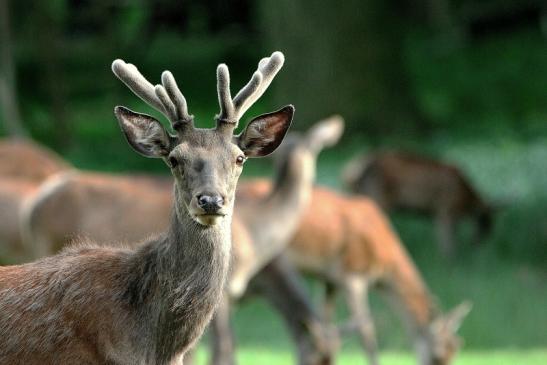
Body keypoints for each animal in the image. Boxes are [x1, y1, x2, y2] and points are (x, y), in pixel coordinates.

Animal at [238, 185, 474, 364]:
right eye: (437, 356)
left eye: (455, 352)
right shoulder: (352, 273)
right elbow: (366, 330)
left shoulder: (329, 279)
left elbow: (327, 321)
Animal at [344, 150, 494, 256]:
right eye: (485, 222)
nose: (479, 244)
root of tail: (351, 174)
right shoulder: (446, 209)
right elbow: (447, 240)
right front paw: (450, 261)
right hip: (378, 199)